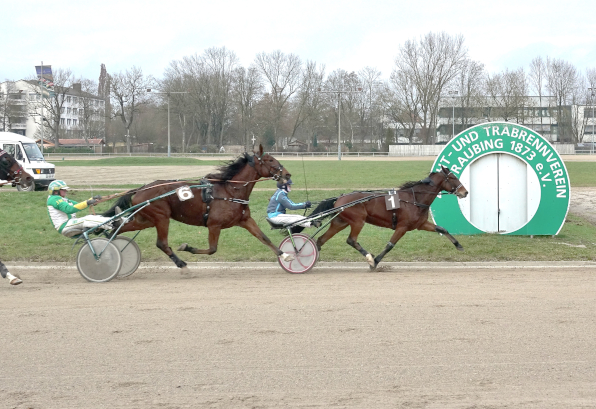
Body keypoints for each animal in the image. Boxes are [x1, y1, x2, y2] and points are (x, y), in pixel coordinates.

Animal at [103, 145, 294, 270]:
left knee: (119, 228)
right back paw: (181, 264)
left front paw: (285, 255)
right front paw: (187, 247)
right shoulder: (214, 225)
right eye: (270, 160)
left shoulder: (245, 220)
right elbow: (212, 249)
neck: (230, 191)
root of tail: (141, 188)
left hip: (146, 219)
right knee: (162, 243)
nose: (287, 174)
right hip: (161, 217)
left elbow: (264, 237)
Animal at [310, 164, 468, 270]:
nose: (465, 192)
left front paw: (458, 245)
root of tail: (340, 197)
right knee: (351, 240)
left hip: (340, 222)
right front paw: (375, 262)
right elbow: (390, 245)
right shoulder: (402, 227)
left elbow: (442, 229)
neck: (414, 199)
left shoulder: (421, 224)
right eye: (453, 177)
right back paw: (369, 258)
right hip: (358, 221)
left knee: (321, 239)